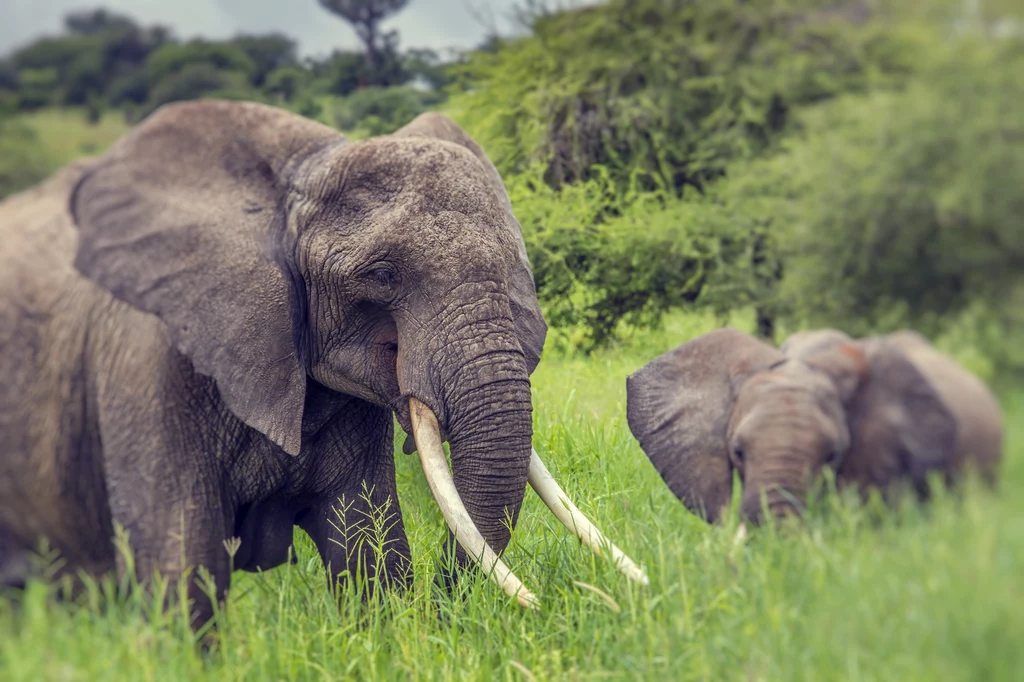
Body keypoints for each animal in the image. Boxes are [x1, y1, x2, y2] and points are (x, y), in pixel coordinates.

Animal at [0, 98, 643, 622]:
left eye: (516, 270)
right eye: (381, 275)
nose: (445, 606)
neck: (296, 176)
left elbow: (368, 548)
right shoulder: (147, 360)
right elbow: (185, 563)